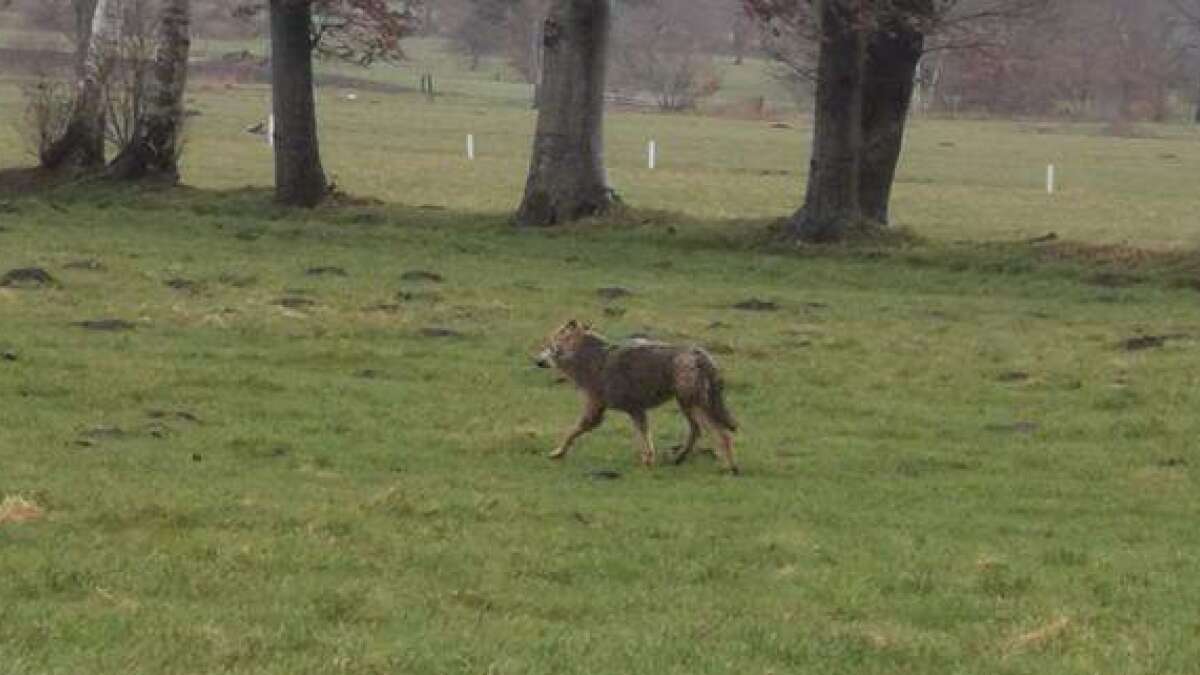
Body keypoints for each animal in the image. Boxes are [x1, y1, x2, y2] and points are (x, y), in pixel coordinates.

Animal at [537, 317, 739, 470]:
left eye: (550, 346)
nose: (536, 361)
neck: (588, 358)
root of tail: (702, 356)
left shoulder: (594, 411)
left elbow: (570, 433)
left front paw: (557, 453)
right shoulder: (636, 410)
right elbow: (646, 437)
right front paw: (648, 460)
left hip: (694, 405)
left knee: (722, 434)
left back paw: (729, 467)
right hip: (687, 405)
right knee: (697, 431)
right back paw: (679, 458)